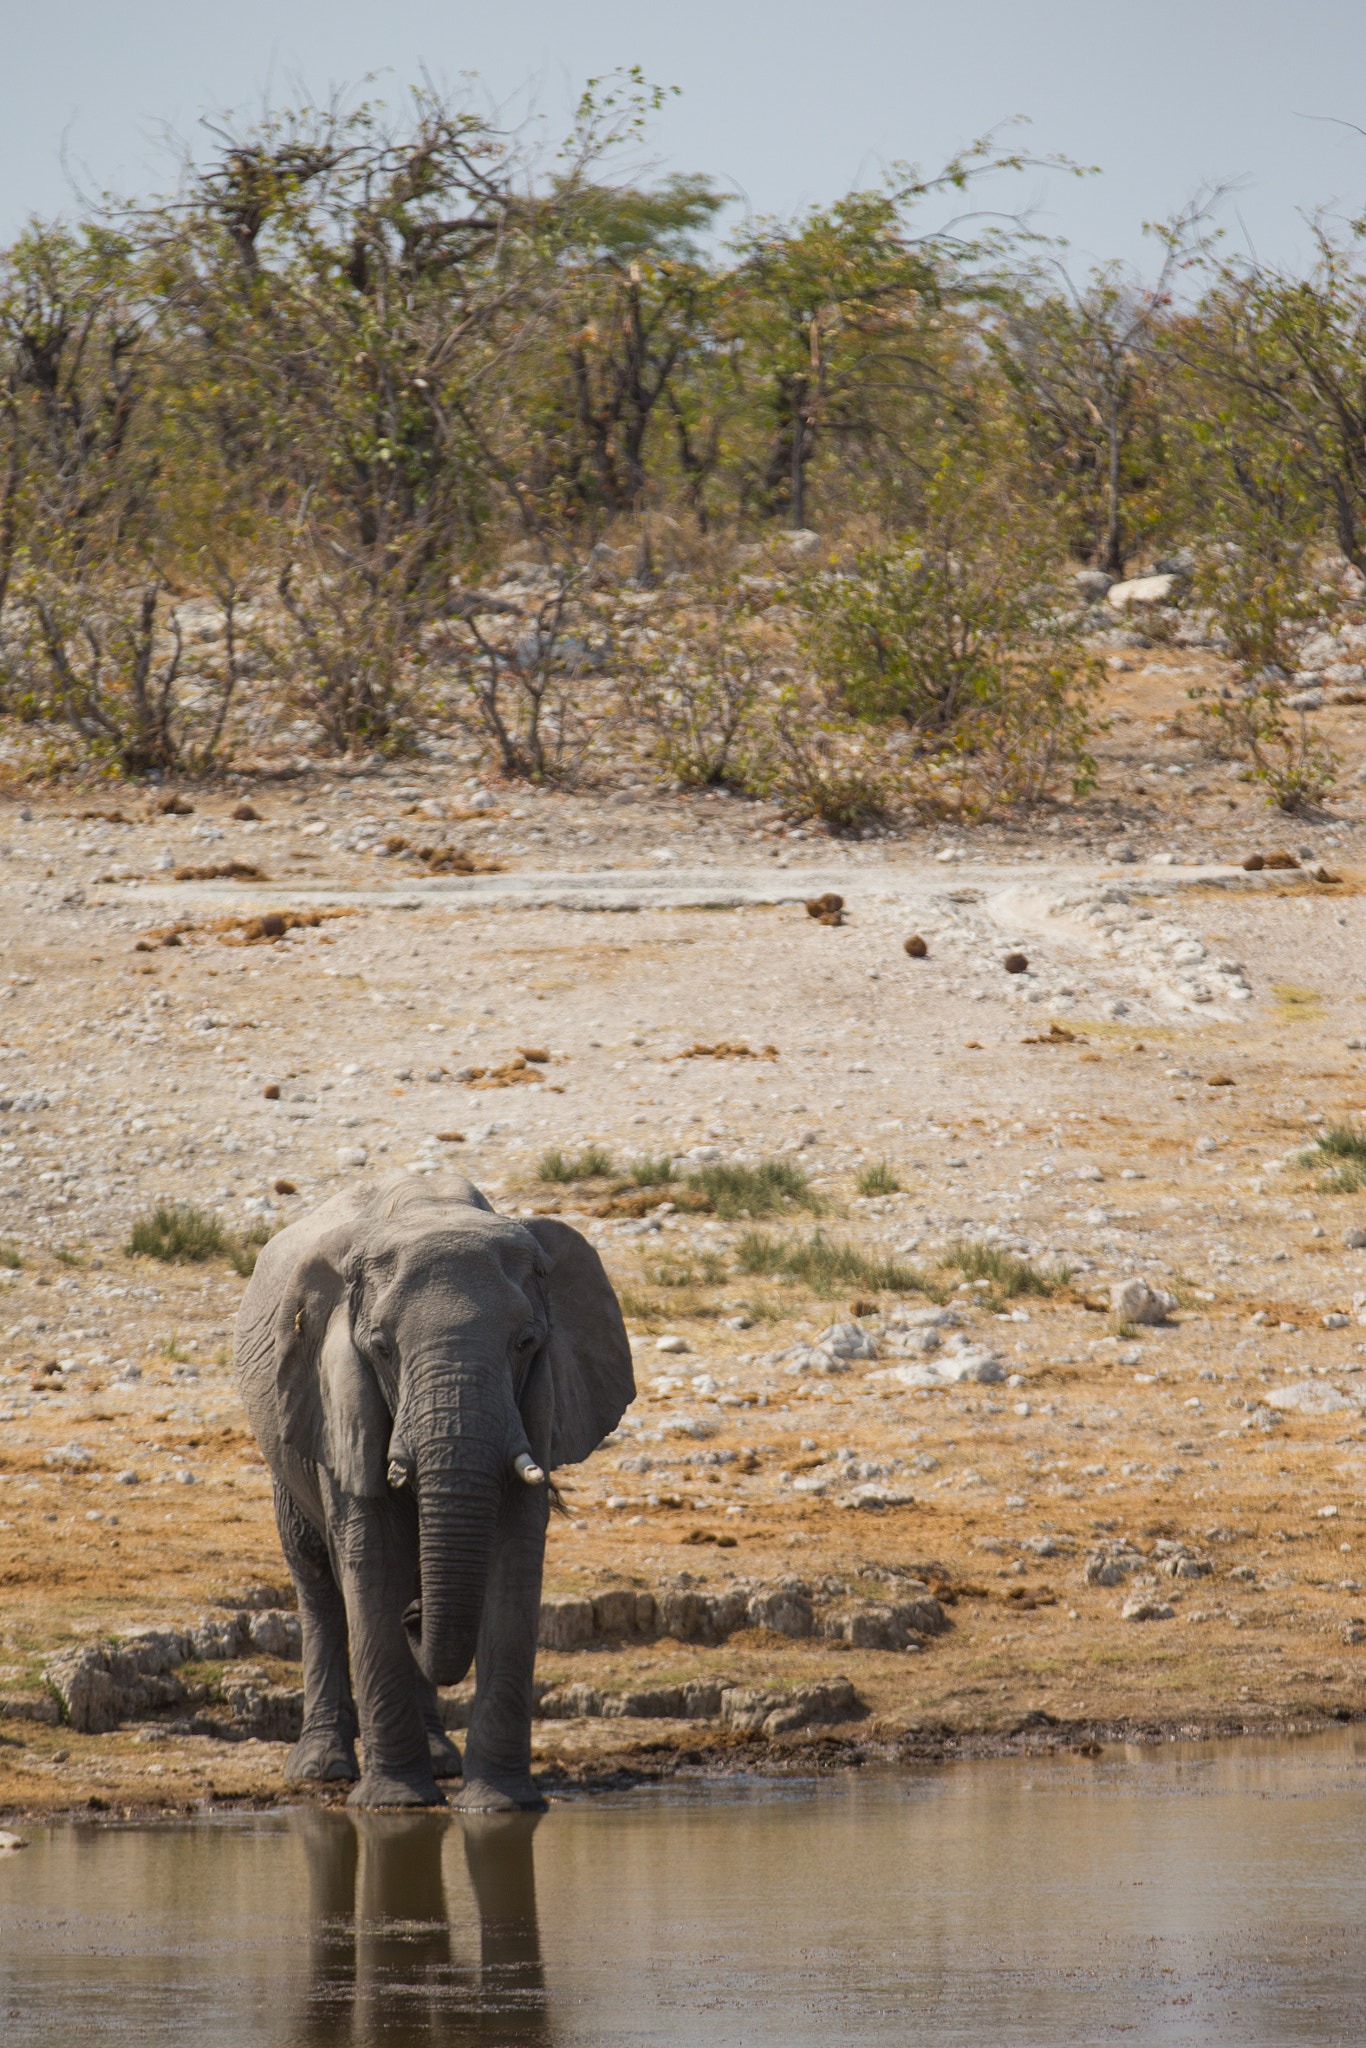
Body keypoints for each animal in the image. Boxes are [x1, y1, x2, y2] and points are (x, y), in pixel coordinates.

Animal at [233, 1172, 634, 1810]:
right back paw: (323, 1769)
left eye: (526, 1342)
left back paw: (441, 1761)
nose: (416, 1616)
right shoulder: (338, 1392)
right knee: (316, 1576)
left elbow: (515, 1562)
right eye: (381, 1348)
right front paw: (395, 1803)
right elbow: (371, 1559)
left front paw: (498, 1805)